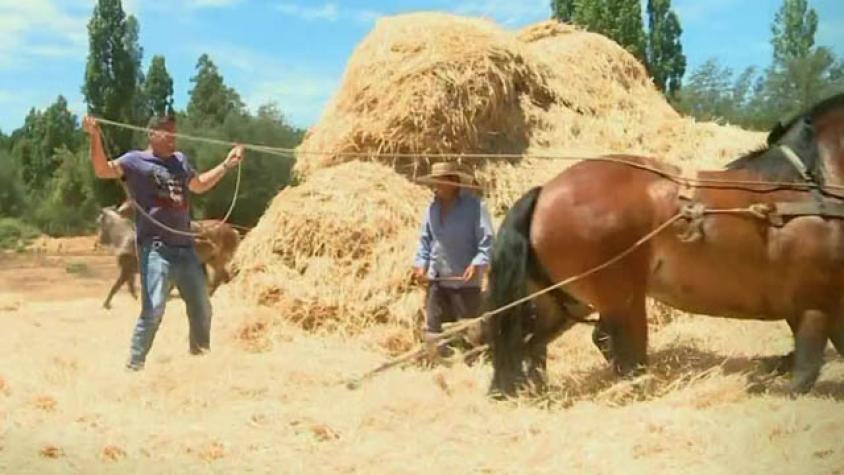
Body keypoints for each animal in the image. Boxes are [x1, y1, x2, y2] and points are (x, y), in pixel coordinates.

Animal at [488, 93, 844, 398]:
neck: (805, 192)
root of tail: (545, 191)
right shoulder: (812, 304)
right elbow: (805, 372)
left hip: (567, 301)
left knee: (531, 344)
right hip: (622, 300)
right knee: (617, 350)